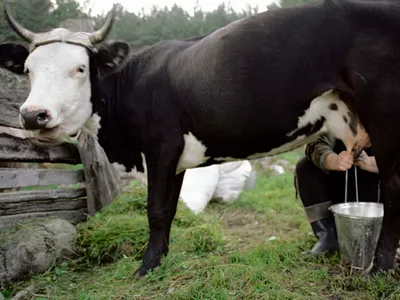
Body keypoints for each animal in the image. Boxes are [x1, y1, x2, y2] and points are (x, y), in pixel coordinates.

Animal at [0, 0, 400, 278]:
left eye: (80, 68)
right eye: (28, 70)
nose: (33, 114)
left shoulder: (161, 146)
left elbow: (156, 210)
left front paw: (146, 267)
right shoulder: (175, 159)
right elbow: (170, 210)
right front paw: (160, 258)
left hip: (385, 113)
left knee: (394, 190)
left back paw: (379, 269)